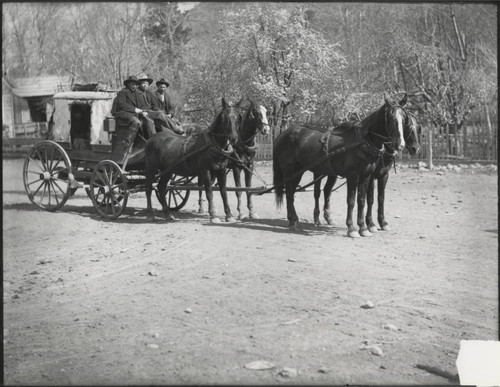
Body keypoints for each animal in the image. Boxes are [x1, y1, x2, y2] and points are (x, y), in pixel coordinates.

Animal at [274, 95, 406, 238]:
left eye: (404, 119)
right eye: (392, 119)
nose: (400, 144)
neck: (362, 142)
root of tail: (283, 133)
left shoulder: (366, 176)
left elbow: (362, 200)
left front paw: (363, 227)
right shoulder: (353, 176)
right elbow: (351, 201)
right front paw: (352, 228)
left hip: (300, 171)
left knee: (295, 192)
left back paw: (295, 220)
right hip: (291, 171)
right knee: (290, 192)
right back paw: (294, 220)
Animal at [314, 100, 420, 233]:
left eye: (418, 127)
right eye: (407, 126)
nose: (415, 149)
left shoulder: (383, 175)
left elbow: (380, 198)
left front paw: (382, 222)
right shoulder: (371, 176)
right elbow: (369, 199)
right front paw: (370, 224)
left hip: (331, 173)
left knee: (327, 190)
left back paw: (329, 218)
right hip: (318, 172)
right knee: (317, 192)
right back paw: (316, 219)